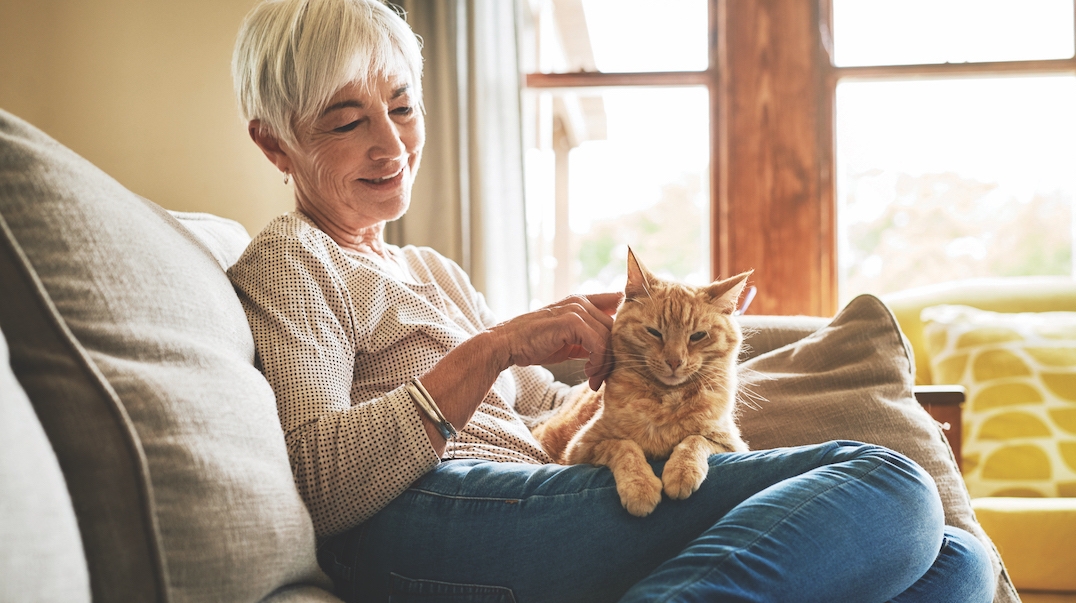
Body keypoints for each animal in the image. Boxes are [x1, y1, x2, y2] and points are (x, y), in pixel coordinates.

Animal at [533, 249, 753, 519]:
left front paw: (682, 471)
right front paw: (640, 487)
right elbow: (625, 446)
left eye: (698, 336)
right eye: (654, 332)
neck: (666, 400)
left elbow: (695, 440)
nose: (674, 361)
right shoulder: (581, 448)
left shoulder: (732, 444)